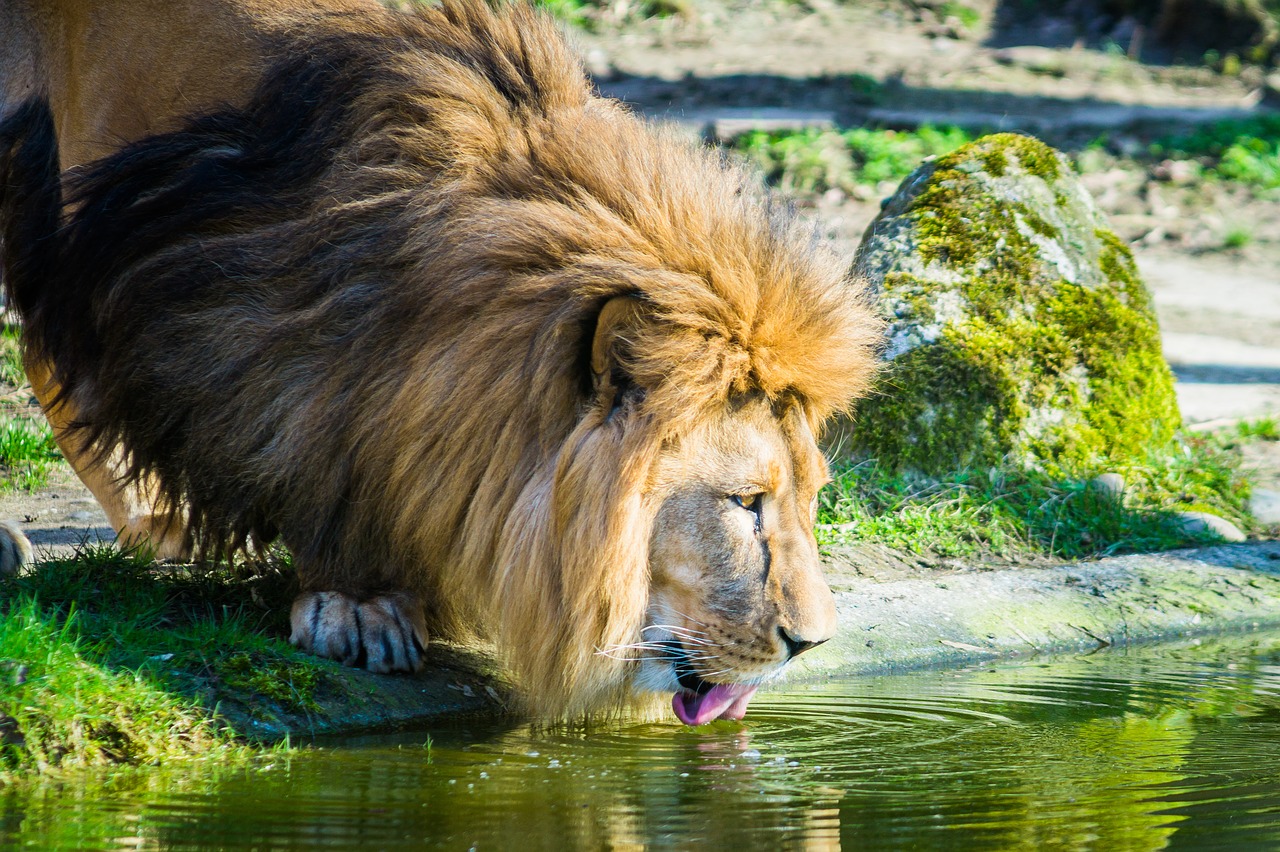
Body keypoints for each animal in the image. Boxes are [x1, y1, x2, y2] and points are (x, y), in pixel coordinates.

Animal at [0, 0, 880, 721]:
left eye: (812, 498)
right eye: (744, 503)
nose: (813, 644)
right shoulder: (228, 301)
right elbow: (306, 447)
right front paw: (358, 602)